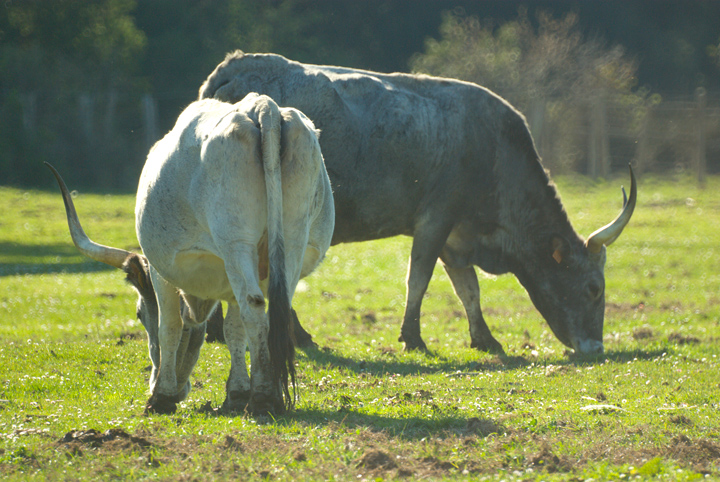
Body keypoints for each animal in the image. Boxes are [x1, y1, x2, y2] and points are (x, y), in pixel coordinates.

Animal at [47, 94, 334, 414]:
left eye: (139, 313)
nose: (173, 387)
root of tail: (263, 107)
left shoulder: (161, 272)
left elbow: (169, 327)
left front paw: (162, 396)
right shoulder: (230, 279)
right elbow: (233, 330)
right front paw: (235, 393)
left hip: (237, 243)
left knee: (255, 310)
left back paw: (263, 398)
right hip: (292, 241)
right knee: (272, 311)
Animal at [198, 50, 636, 356]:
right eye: (594, 288)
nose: (596, 348)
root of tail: (234, 66)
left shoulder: (457, 237)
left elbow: (468, 289)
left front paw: (484, 338)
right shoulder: (435, 220)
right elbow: (419, 278)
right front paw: (413, 337)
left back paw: (218, 332)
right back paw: (296, 335)